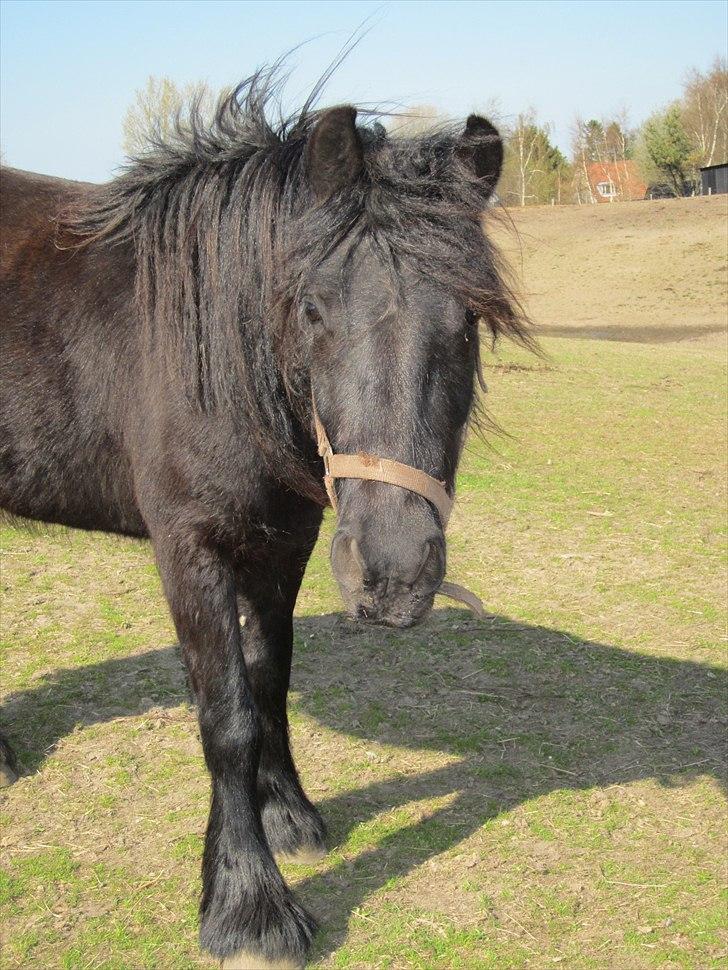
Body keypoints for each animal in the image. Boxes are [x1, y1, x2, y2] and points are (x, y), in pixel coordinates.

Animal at [0, 73, 530, 968]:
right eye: (312, 311)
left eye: (470, 320)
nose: (394, 574)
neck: (212, 359)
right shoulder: (192, 552)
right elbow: (227, 718)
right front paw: (248, 905)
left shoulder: (285, 545)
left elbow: (267, 682)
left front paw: (283, 819)